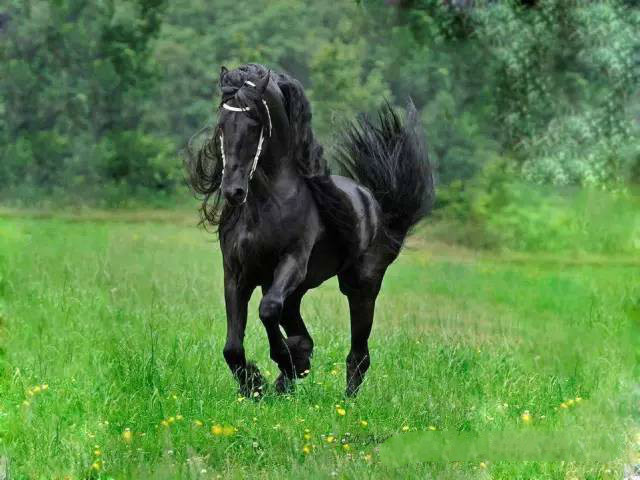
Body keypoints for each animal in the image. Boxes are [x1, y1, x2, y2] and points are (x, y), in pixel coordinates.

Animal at [185, 63, 434, 397]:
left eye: (254, 123)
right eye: (223, 124)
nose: (233, 192)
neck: (265, 204)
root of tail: (372, 200)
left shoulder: (292, 263)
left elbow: (267, 310)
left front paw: (281, 363)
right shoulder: (236, 274)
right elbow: (232, 347)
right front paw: (256, 384)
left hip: (360, 286)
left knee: (359, 353)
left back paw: (345, 397)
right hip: (297, 293)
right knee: (301, 330)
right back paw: (290, 374)